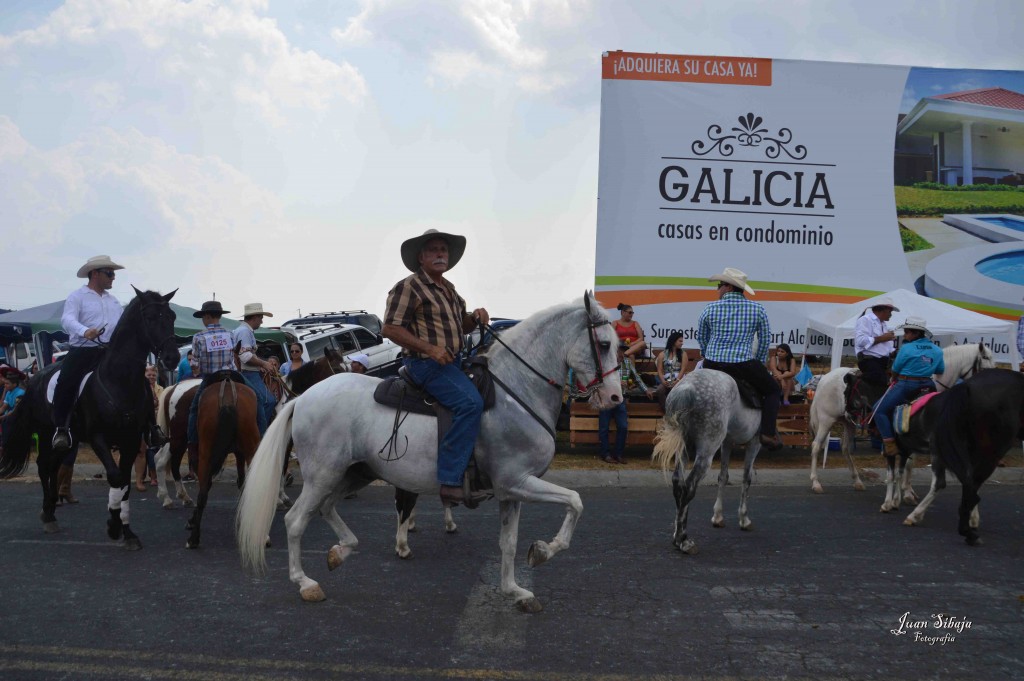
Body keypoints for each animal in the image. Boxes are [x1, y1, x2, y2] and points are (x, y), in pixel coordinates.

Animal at [0, 286, 179, 548]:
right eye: (150, 318)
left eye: (172, 317)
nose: (173, 357)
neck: (119, 380)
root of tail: (35, 377)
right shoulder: (98, 438)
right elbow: (115, 477)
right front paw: (113, 525)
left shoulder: (131, 440)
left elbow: (125, 482)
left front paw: (126, 531)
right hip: (47, 432)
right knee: (44, 466)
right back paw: (48, 515)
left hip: (67, 439)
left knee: (53, 466)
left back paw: (51, 509)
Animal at [237, 294, 622, 614]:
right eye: (604, 344)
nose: (615, 398)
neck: (516, 392)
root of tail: (303, 398)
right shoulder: (518, 482)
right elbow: (575, 502)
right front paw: (543, 552)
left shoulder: (511, 492)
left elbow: (509, 543)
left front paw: (515, 591)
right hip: (323, 475)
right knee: (296, 520)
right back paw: (306, 583)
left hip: (354, 472)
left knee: (328, 508)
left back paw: (339, 552)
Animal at [651, 368, 765, 557]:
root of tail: (687, 388)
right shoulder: (754, 442)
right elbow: (746, 479)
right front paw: (744, 519)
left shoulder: (727, 443)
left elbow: (723, 477)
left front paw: (718, 517)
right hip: (706, 451)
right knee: (688, 487)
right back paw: (683, 540)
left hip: (684, 449)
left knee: (678, 483)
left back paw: (677, 536)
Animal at [802, 342, 995, 501]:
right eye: (985, 360)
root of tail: (825, 378)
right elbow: (909, 462)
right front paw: (907, 492)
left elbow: (910, 462)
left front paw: (907, 490)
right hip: (826, 419)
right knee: (816, 446)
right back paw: (816, 483)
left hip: (848, 421)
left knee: (846, 449)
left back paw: (857, 481)